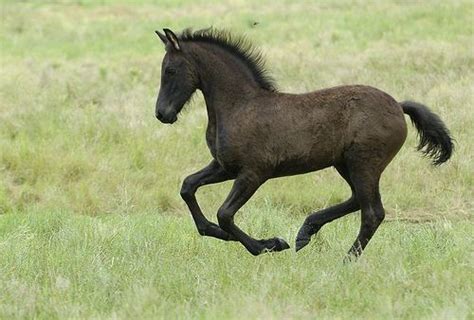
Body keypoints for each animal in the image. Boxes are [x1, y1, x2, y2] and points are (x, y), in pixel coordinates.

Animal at [154, 26, 454, 258]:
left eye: (170, 70)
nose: (162, 114)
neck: (239, 106)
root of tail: (398, 106)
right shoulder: (224, 167)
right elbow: (188, 187)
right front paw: (225, 234)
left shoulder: (254, 172)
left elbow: (225, 214)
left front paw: (269, 245)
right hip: (345, 164)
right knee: (358, 200)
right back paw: (306, 232)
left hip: (364, 163)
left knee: (372, 212)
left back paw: (345, 259)